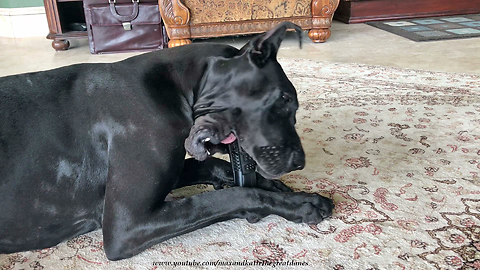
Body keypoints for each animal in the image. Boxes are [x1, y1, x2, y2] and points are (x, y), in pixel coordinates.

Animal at [0, 22, 332, 260]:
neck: (179, 88)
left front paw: (274, 185)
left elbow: (211, 165)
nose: (299, 163)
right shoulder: (127, 225)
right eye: (285, 100)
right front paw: (300, 203)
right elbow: (229, 197)